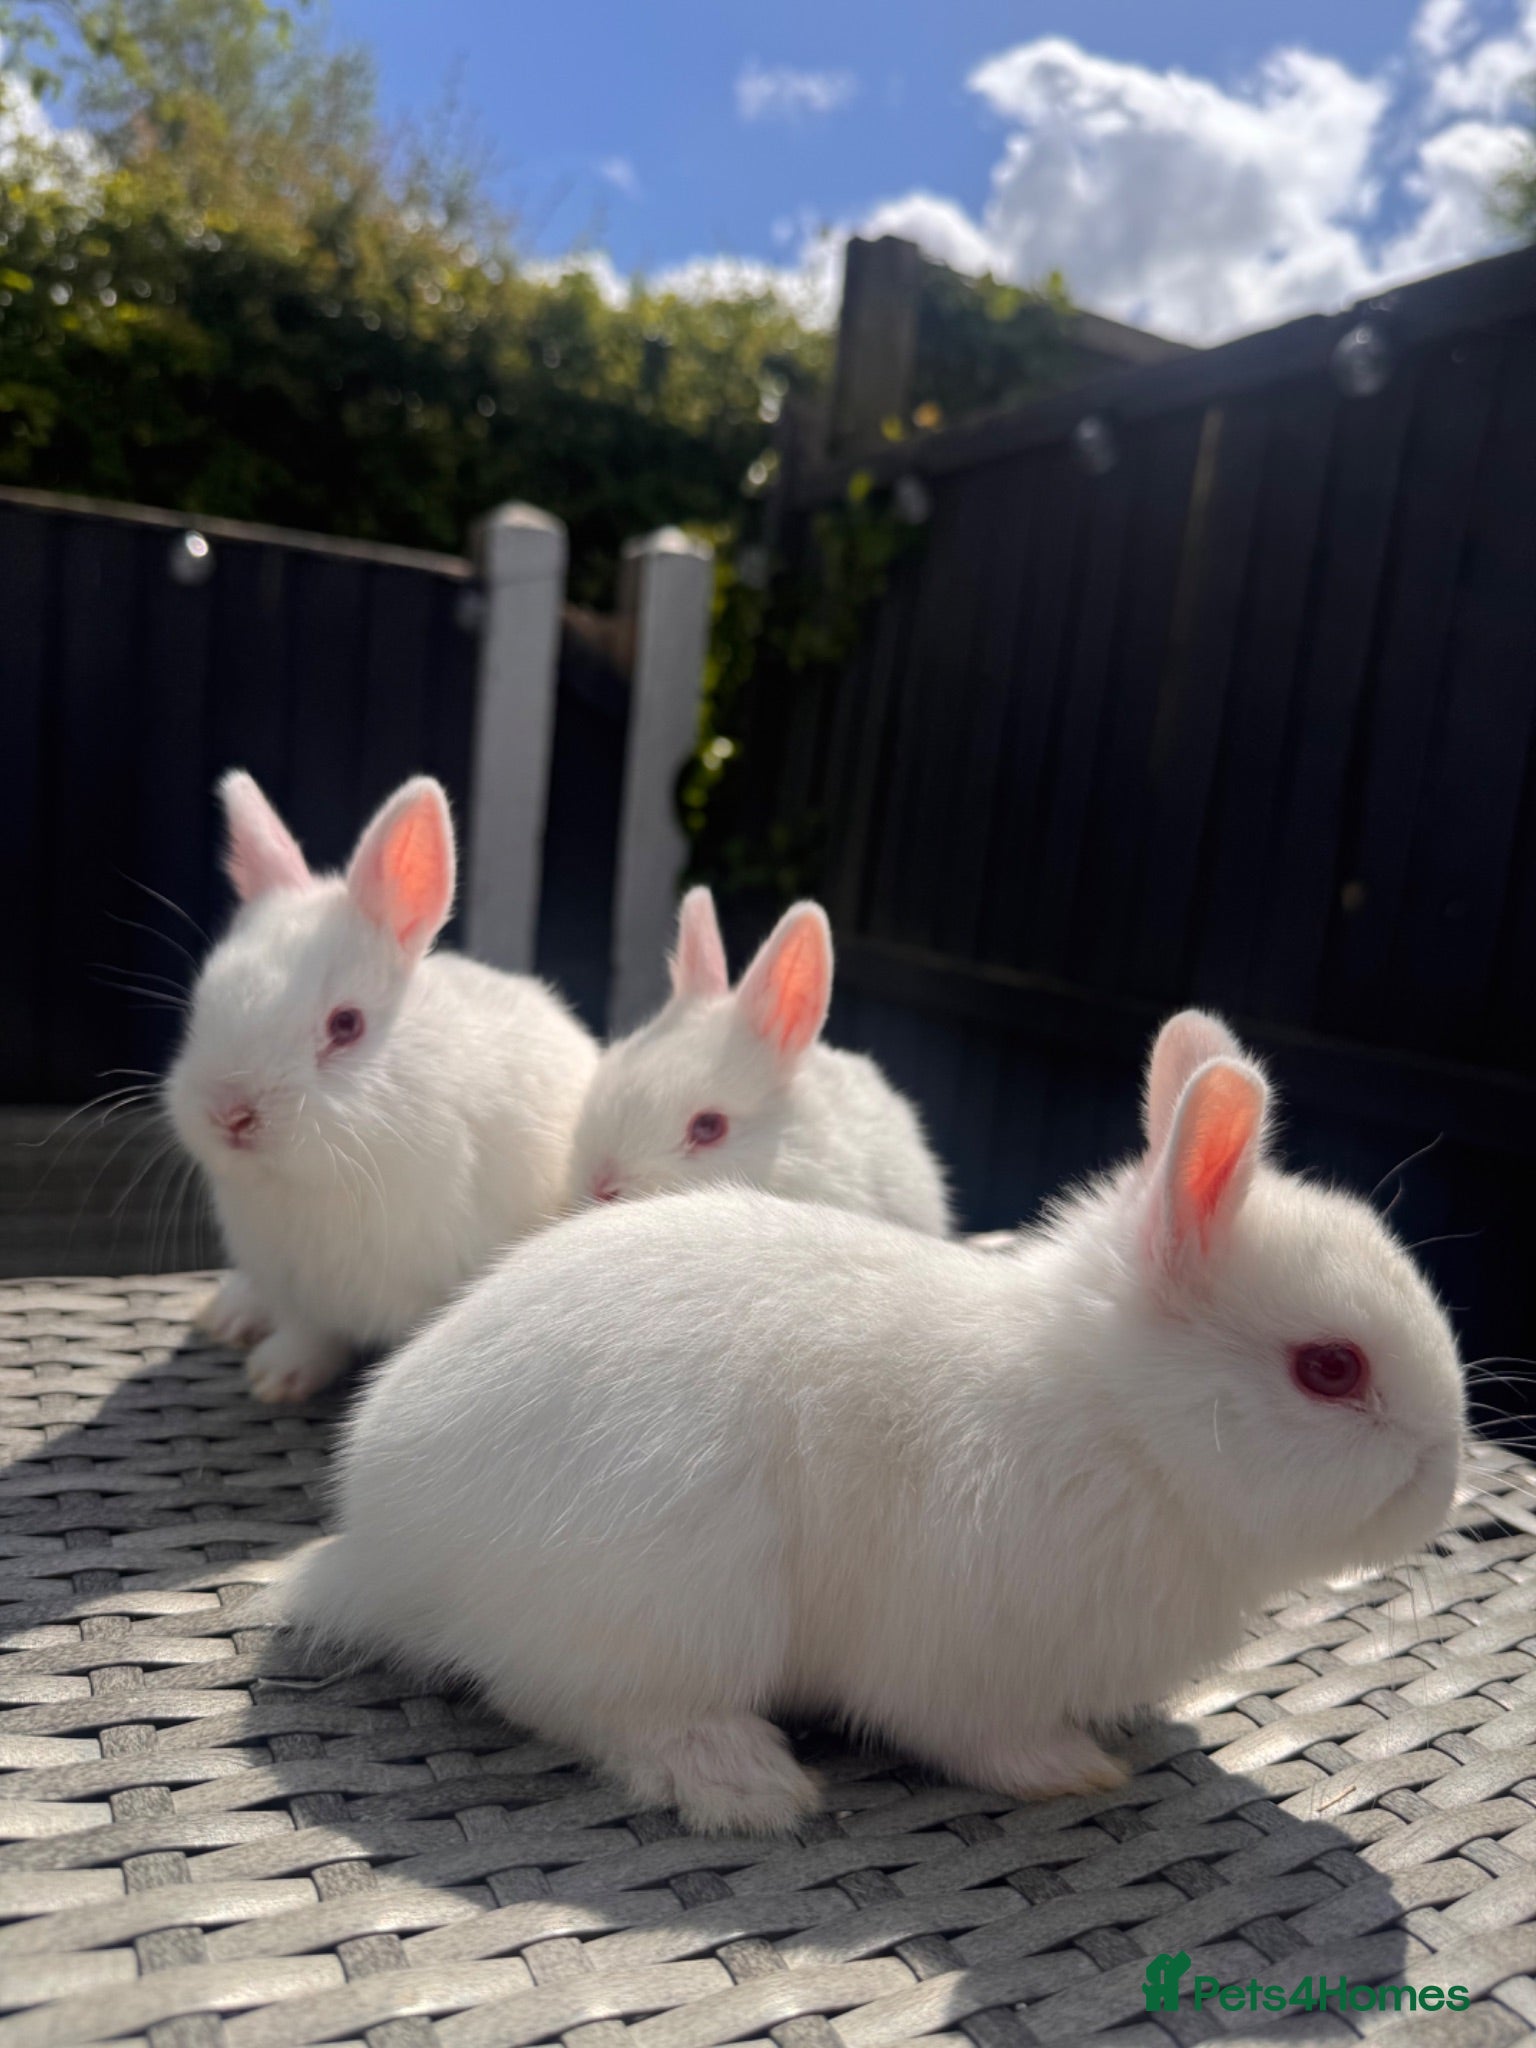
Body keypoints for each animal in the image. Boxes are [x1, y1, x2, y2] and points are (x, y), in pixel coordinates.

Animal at [164, 770, 598, 1403]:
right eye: (202, 1004)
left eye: (346, 1025)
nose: (232, 1114)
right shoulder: (302, 1294)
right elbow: (311, 1336)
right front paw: (278, 1379)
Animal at [282, 1007, 1464, 1833]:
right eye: (1330, 1368)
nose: (1444, 1478)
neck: (1118, 1427)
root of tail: (382, 1545)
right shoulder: (964, 1662)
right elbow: (977, 1737)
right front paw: (1074, 1769)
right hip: (673, 1599)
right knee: (576, 1701)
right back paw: (746, 1783)